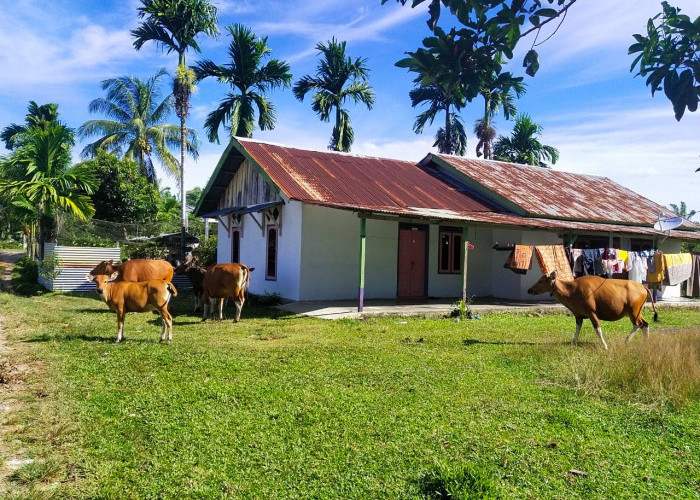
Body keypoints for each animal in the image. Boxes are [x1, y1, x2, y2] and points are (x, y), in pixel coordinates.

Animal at [528, 272, 660, 350]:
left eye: (541, 281)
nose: (529, 290)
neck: (572, 290)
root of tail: (642, 286)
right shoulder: (578, 315)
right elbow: (577, 330)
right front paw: (573, 343)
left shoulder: (592, 313)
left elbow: (598, 330)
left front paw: (605, 345)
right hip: (637, 312)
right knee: (645, 324)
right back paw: (646, 343)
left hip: (633, 312)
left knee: (638, 324)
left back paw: (627, 340)